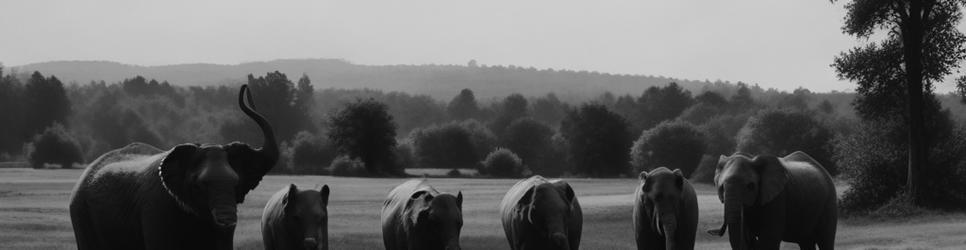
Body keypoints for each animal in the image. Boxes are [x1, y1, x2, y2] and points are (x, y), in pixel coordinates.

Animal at [704, 151, 840, 249]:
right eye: (721, 187)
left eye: (750, 186)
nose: (711, 231)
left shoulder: (778, 198)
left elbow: (768, 241)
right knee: (805, 241)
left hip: (830, 201)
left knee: (825, 240)